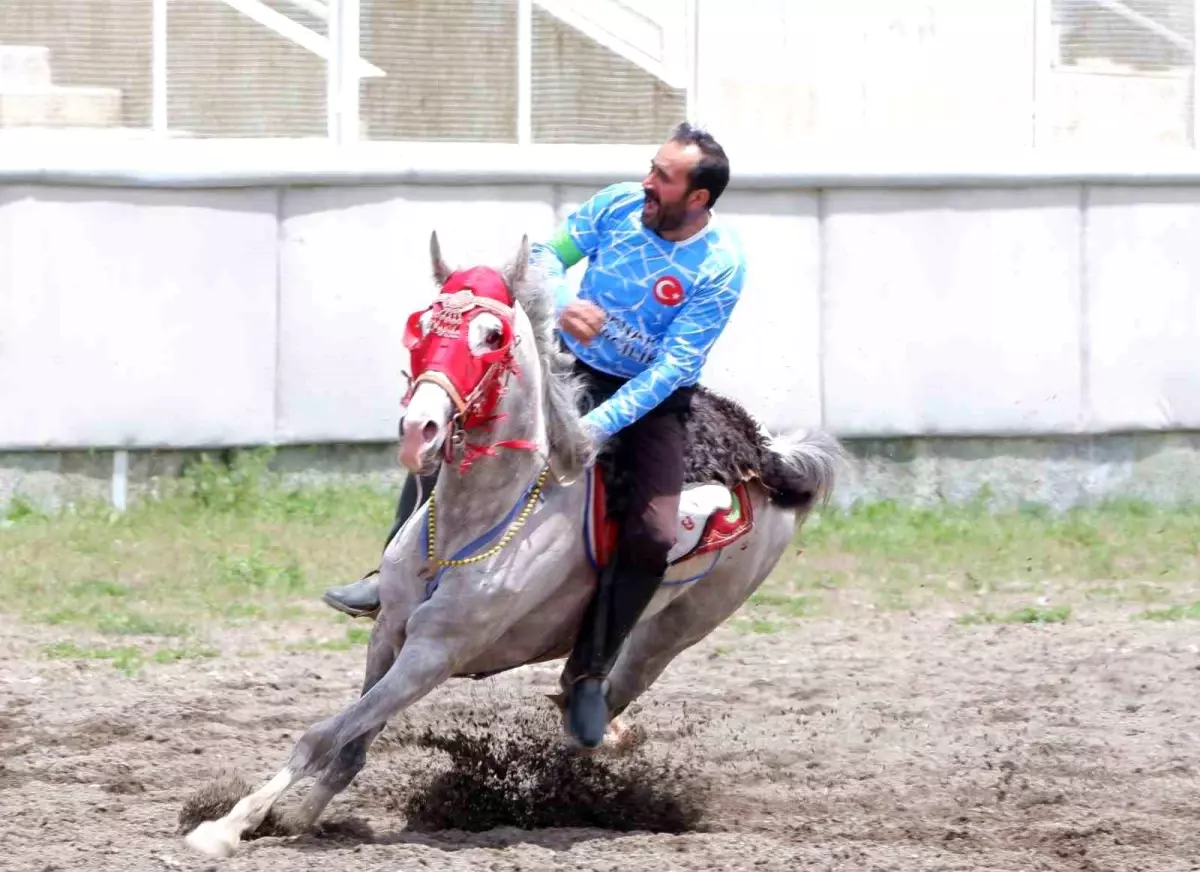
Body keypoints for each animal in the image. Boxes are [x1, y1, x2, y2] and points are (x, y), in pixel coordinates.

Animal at [187, 230, 844, 858]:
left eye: (492, 335)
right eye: (422, 325)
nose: (420, 428)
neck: (480, 522)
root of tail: (770, 454)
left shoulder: (435, 653)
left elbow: (323, 733)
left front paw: (224, 828)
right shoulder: (390, 633)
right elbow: (348, 741)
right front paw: (294, 820)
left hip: (676, 630)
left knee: (601, 703)